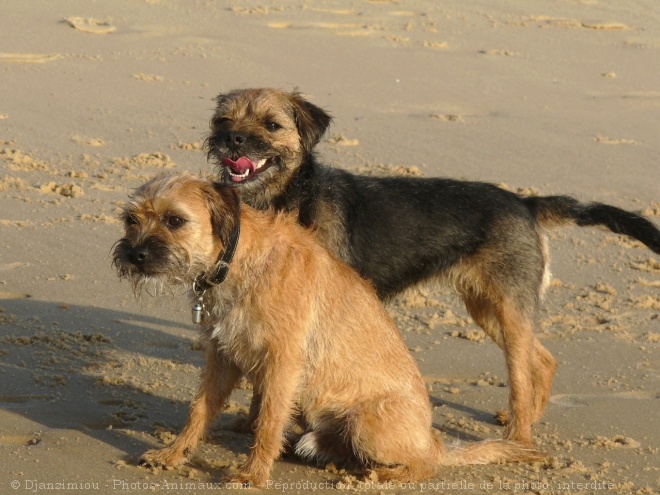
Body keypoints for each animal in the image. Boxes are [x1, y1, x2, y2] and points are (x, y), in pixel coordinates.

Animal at [111, 173, 540, 488]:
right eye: (131, 219)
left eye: (175, 220)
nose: (134, 254)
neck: (239, 260)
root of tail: (434, 440)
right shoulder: (222, 357)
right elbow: (199, 410)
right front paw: (173, 454)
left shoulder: (283, 363)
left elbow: (268, 420)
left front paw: (252, 475)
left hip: (368, 423)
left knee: (425, 464)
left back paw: (379, 475)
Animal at [206, 86, 660, 446]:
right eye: (223, 119)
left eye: (272, 125)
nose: (232, 139)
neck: (292, 198)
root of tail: (524, 202)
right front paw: (251, 424)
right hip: (486, 308)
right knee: (543, 360)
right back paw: (525, 418)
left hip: (509, 310)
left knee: (522, 373)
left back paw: (519, 436)